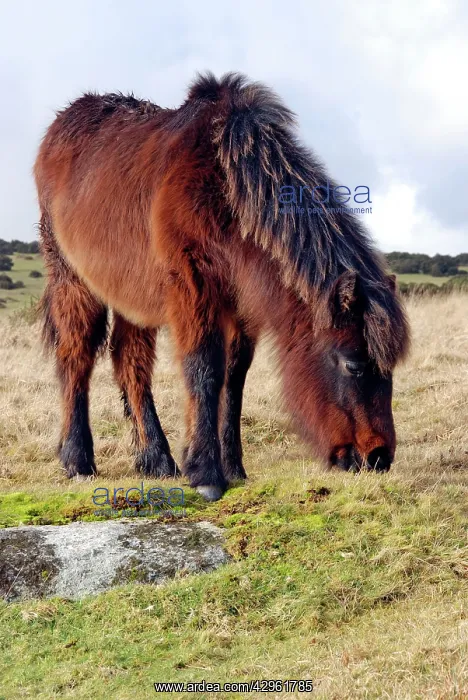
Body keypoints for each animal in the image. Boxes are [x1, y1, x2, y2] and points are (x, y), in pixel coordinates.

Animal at [34, 72, 410, 501]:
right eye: (353, 365)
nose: (378, 457)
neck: (224, 187)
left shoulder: (240, 303)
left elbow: (234, 378)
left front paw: (233, 467)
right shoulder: (193, 286)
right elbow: (204, 368)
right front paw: (206, 473)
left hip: (132, 294)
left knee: (130, 362)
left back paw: (156, 460)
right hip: (72, 280)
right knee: (76, 357)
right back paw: (78, 459)